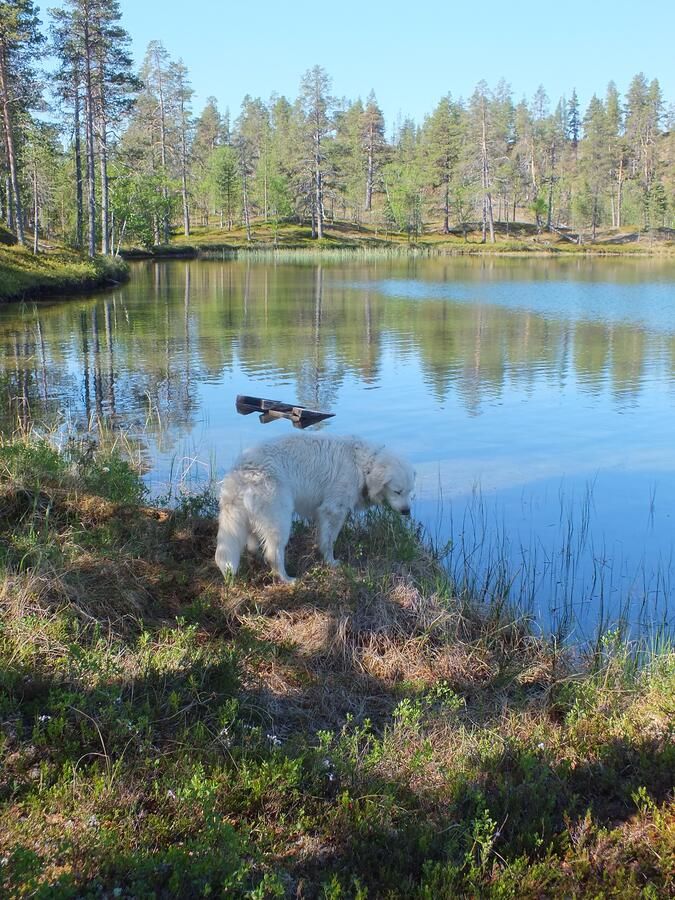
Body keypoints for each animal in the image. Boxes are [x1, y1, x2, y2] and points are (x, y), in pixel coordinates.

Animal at [219, 434, 414, 584]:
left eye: (409, 491)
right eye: (397, 491)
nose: (407, 511)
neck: (362, 465)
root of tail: (240, 470)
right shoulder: (333, 510)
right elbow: (329, 541)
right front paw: (331, 562)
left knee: (254, 545)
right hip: (279, 518)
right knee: (273, 554)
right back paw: (286, 579)